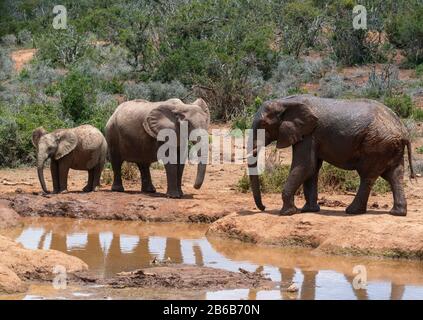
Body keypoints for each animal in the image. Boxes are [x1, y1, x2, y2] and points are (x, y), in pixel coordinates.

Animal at [248, 94, 418, 216]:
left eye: (263, 125)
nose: (263, 207)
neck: (285, 101)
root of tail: (403, 130)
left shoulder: (309, 134)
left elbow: (305, 166)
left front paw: (287, 213)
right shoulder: (310, 135)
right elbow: (312, 169)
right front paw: (309, 210)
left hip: (377, 144)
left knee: (368, 176)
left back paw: (352, 211)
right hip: (388, 146)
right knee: (394, 175)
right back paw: (397, 213)